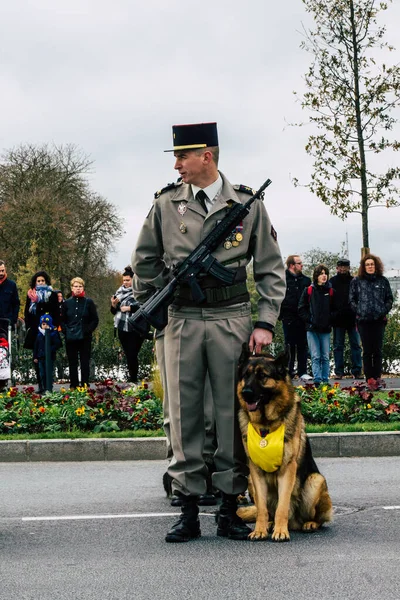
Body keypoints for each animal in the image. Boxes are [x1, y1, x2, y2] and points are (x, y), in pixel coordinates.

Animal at [236, 344, 332, 540]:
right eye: (245, 375)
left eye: (262, 376)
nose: (246, 393)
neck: (266, 425)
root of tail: (295, 522)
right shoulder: (256, 472)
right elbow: (262, 509)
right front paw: (259, 530)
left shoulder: (287, 470)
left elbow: (282, 505)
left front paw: (281, 531)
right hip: (251, 481)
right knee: (265, 510)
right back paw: (269, 525)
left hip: (315, 481)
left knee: (317, 518)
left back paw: (308, 523)